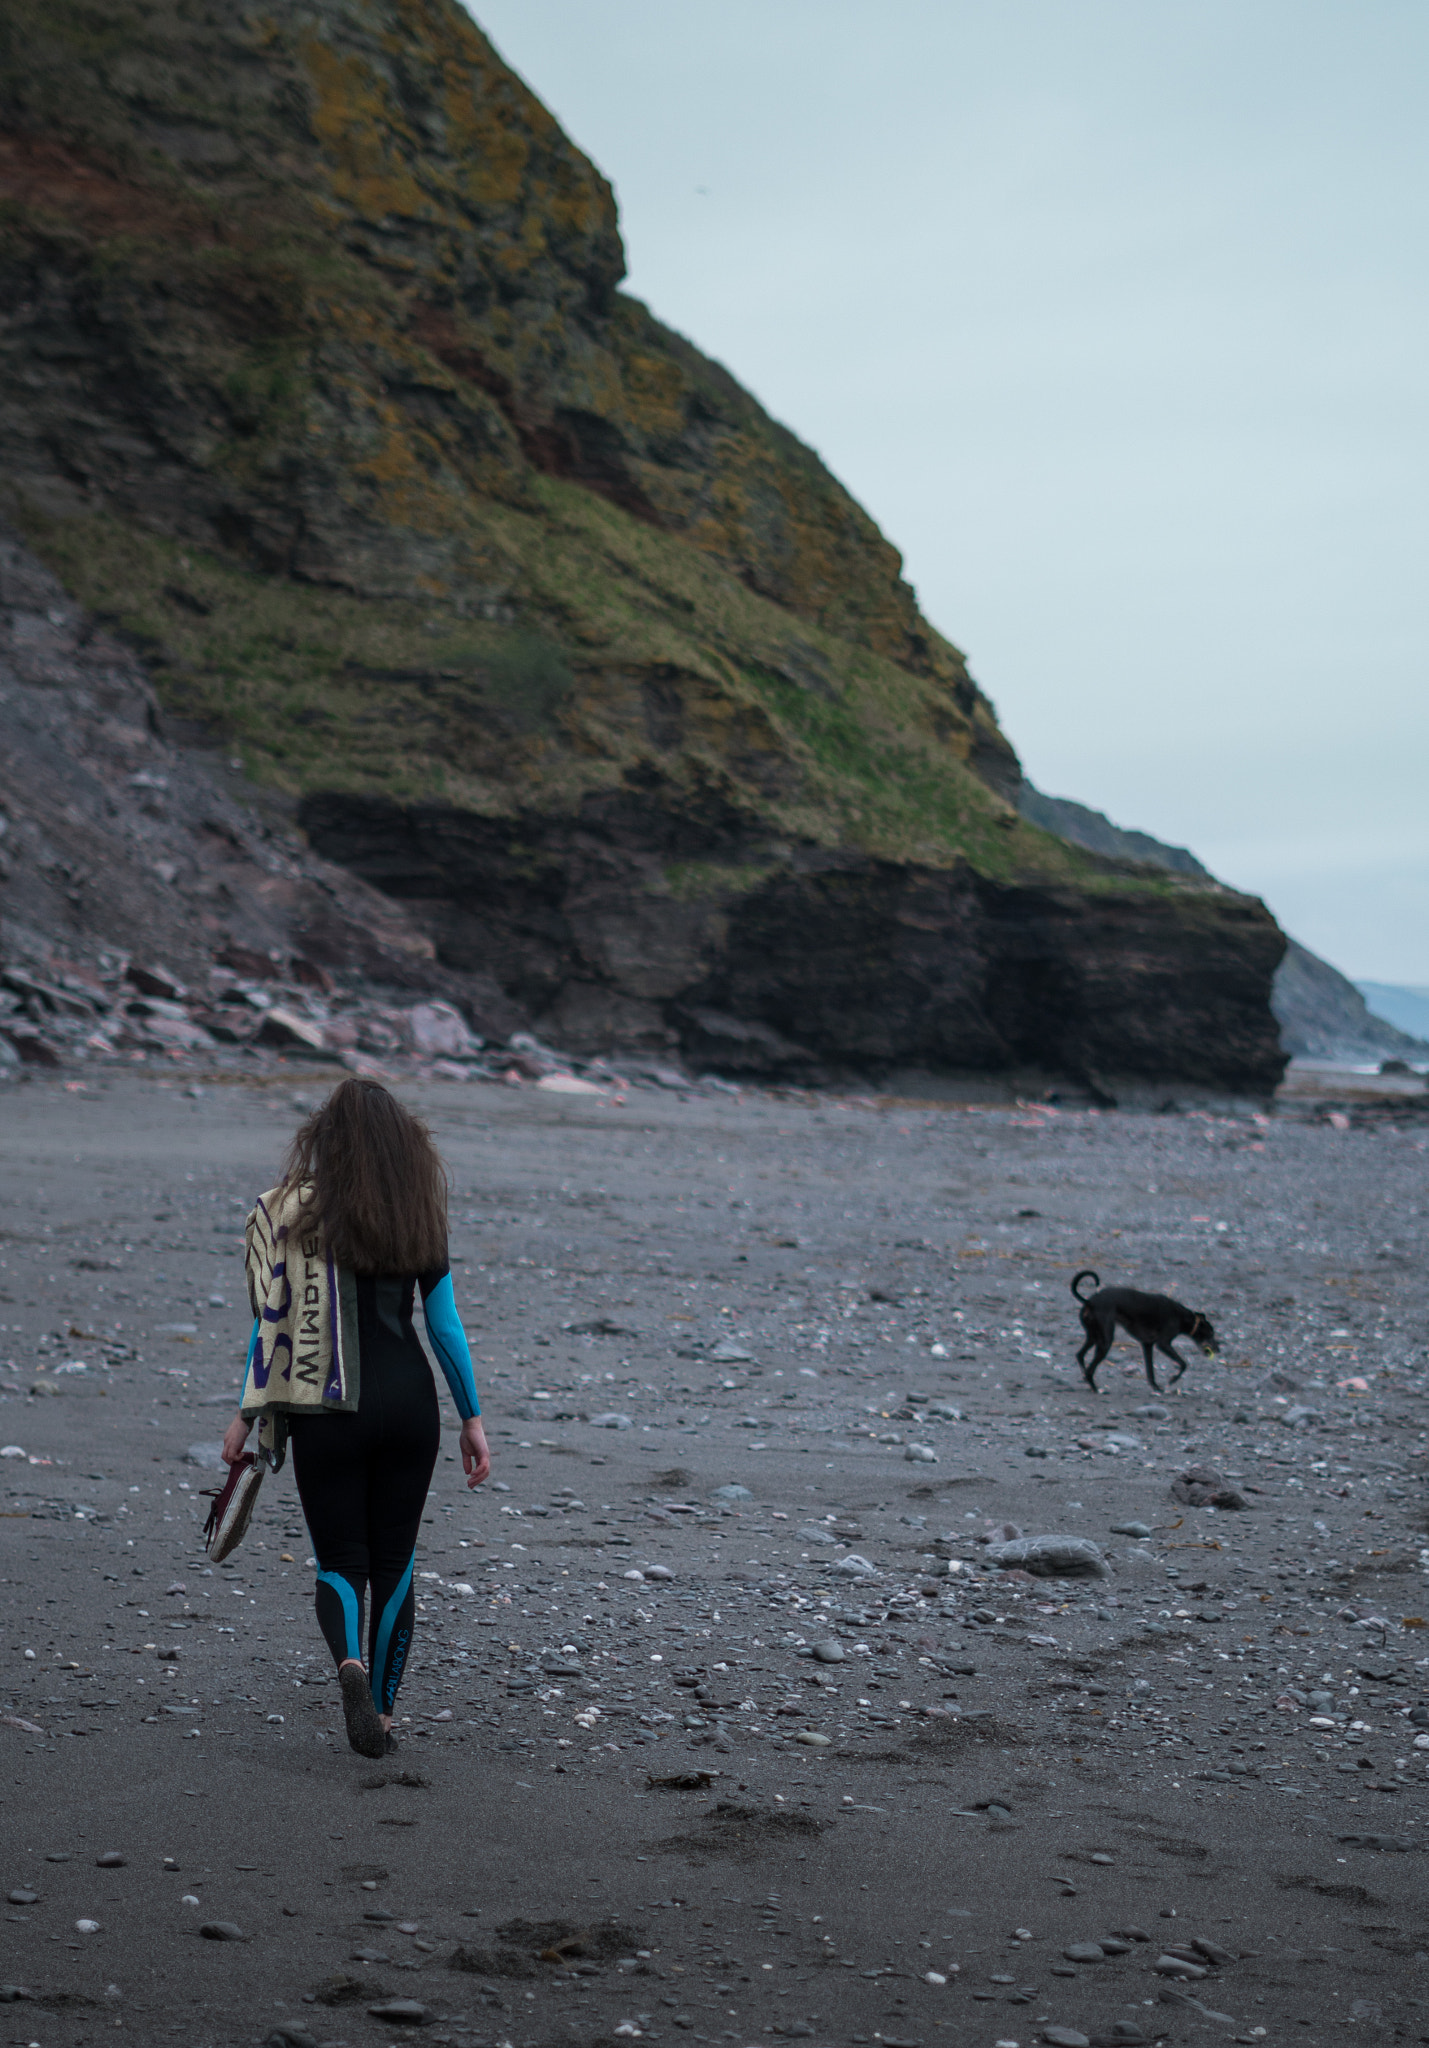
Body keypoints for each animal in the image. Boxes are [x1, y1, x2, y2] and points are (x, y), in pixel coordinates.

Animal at [1064, 1261, 1211, 1392]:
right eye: (1211, 1333)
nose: (1215, 1348)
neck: (1181, 1316)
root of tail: (1089, 1301)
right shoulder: (1163, 1344)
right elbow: (1183, 1364)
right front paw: (1172, 1379)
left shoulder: (1147, 1344)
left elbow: (1150, 1371)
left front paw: (1156, 1387)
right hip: (1105, 1341)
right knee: (1090, 1369)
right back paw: (1095, 1388)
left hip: (1093, 1336)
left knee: (1080, 1355)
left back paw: (1086, 1380)